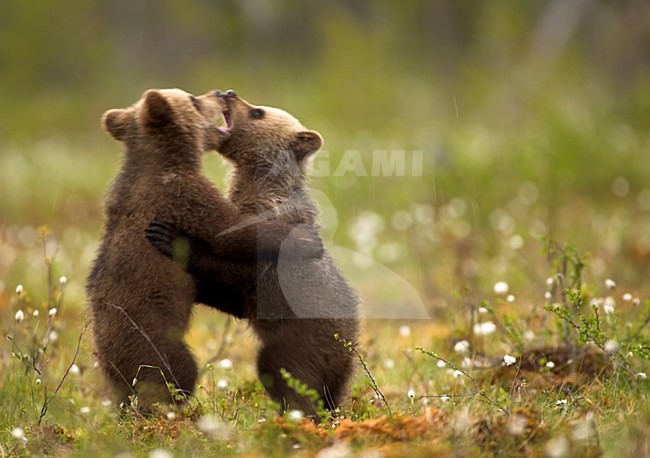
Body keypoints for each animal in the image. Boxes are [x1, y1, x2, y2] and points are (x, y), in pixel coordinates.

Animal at [86, 88, 324, 410]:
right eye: (193, 99)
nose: (222, 92)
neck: (162, 161)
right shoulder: (184, 195)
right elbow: (232, 231)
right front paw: (306, 240)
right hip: (153, 342)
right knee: (176, 374)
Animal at [146, 90, 361, 418]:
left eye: (259, 112)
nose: (228, 92)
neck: (259, 188)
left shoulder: (267, 260)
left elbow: (232, 273)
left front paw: (171, 238)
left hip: (303, 342)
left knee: (283, 373)